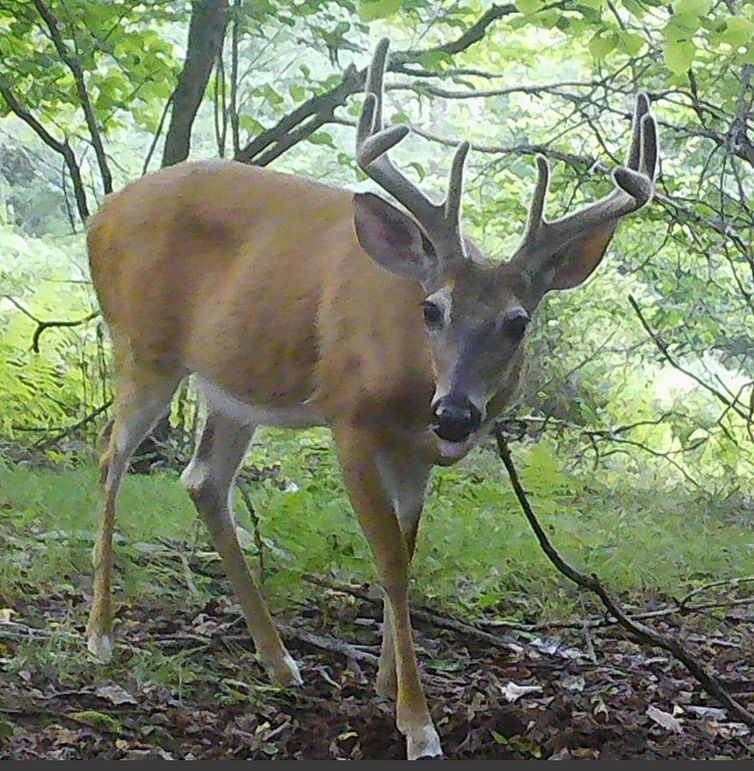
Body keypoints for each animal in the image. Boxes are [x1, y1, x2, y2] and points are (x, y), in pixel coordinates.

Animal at [85, 38, 659, 760]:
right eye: (431, 308)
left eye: (519, 321)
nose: (457, 414)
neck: (415, 386)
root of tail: (98, 214)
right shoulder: (349, 419)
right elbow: (388, 561)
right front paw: (417, 720)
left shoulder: (414, 454)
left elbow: (409, 551)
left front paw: (388, 680)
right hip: (144, 347)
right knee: (111, 457)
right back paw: (101, 634)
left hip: (235, 387)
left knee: (203, 478)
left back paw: (279, 659)